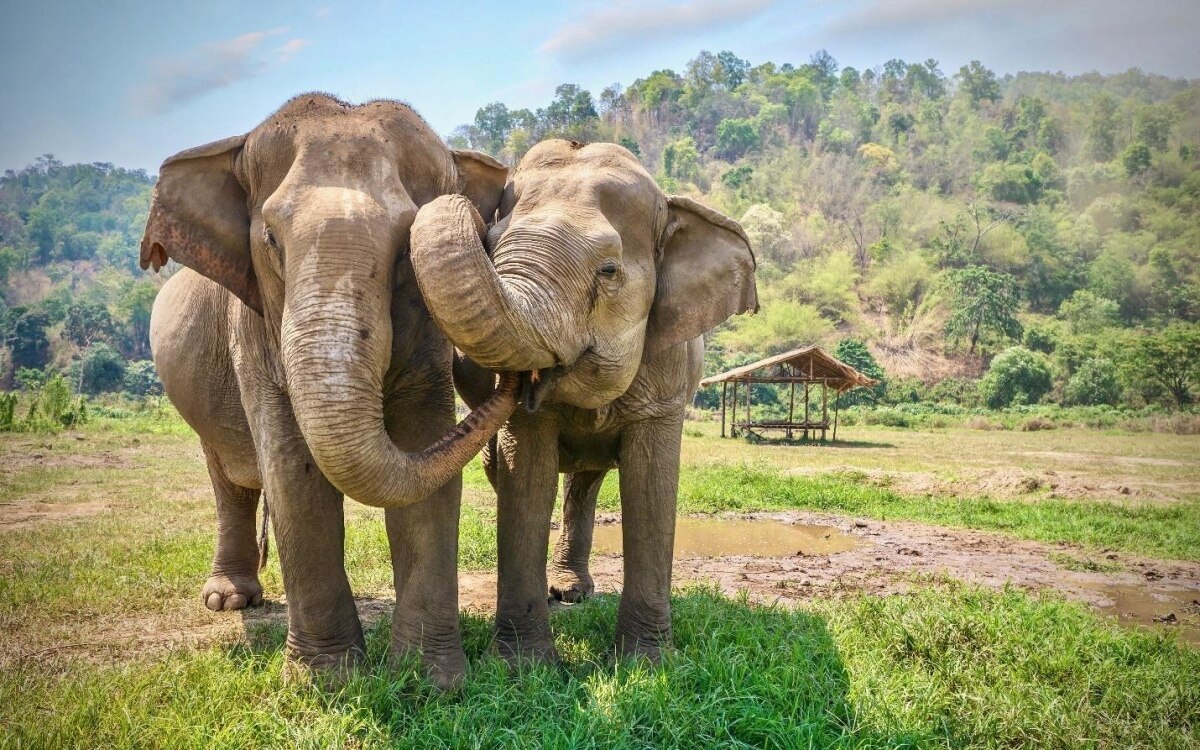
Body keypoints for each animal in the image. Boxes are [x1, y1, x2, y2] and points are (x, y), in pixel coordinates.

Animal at [140, 94, 516, 691]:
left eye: (406, 250)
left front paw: (430, 682)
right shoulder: (253, 329)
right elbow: (294, 475)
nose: (520, 380)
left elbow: (425, 454)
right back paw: (228, 601)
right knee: (229, 481)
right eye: (271, 240)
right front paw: (327, 683)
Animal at [408, 139, 753, 662]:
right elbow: (527, 480)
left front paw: (647, 662)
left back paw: (573, 591)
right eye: (491, 245)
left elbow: (651, 486)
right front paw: (523, 666)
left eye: (608, 270)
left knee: (585, 483)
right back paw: (564, 592)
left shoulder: (668, 376)